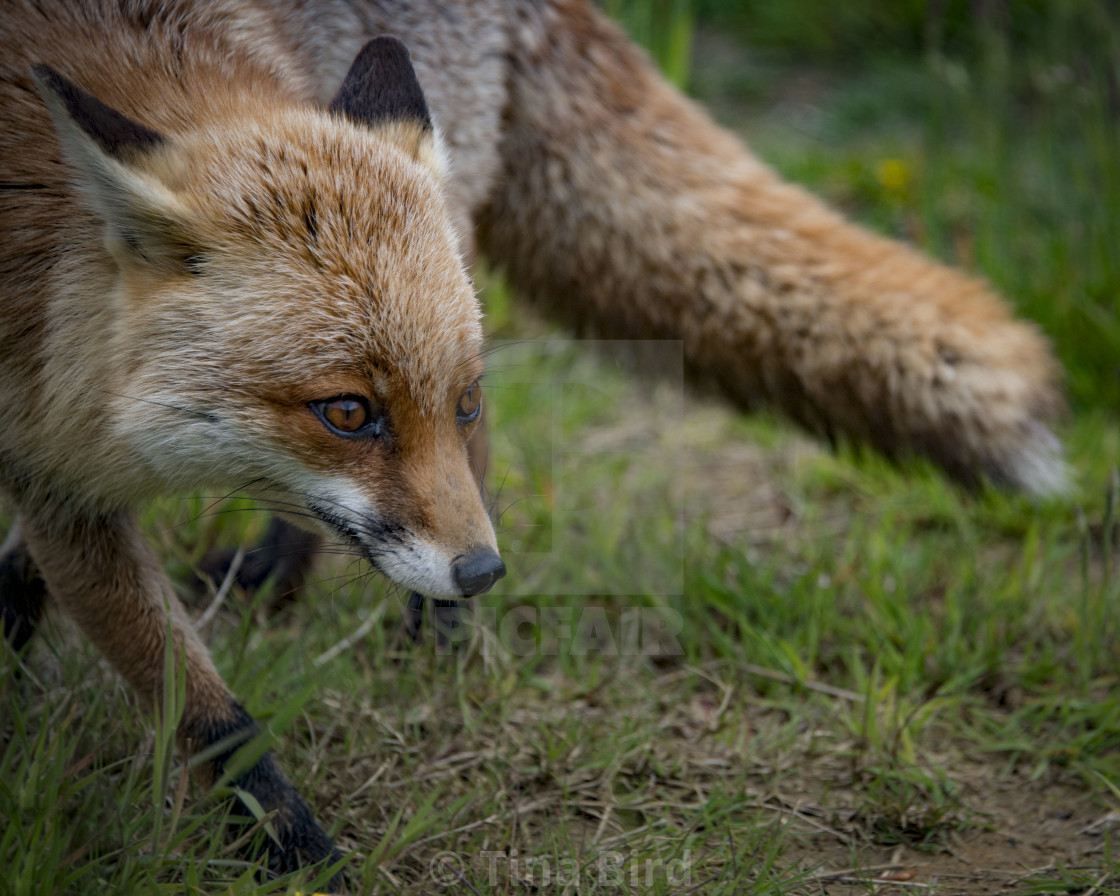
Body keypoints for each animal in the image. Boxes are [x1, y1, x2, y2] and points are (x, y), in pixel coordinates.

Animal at [2, 0, 1066, 887]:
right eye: (346, 413)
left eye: (464, 400)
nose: (480, 575)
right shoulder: (54, 472)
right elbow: (201, 706)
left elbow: (212, 722)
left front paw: (301, 861)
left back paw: (409, 632)